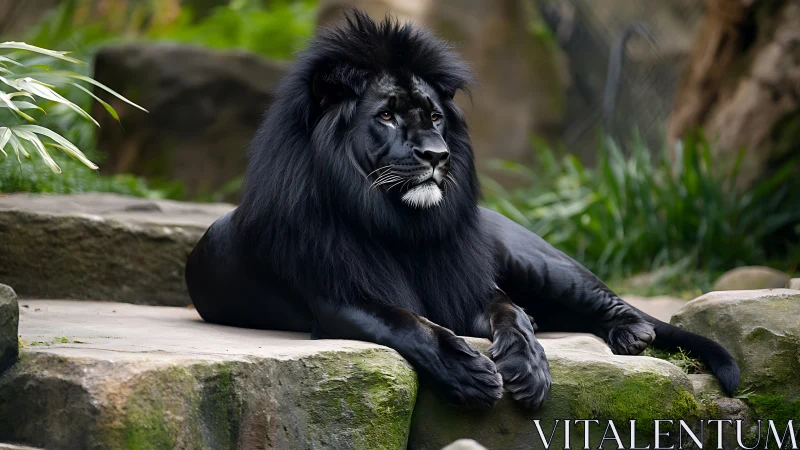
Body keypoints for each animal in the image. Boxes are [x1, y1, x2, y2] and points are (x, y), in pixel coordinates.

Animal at [185, 11, 739, 409]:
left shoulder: (465, 287)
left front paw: (530, 368)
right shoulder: (338, 297)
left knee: (612, 300)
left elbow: (509, 312)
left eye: (434, 116)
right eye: (387, 116)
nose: (438, 155)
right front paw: (468, 373)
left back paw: (633, 332)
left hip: (535, 261)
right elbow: (406, 323)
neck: (401, 225)